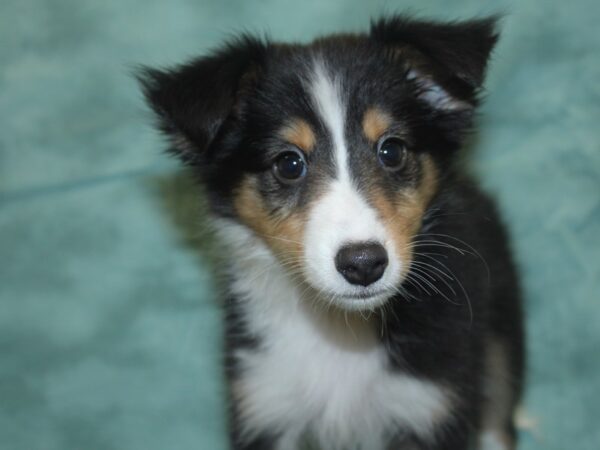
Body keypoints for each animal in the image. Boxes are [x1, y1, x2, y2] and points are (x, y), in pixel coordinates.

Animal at [138, 14, 524, 450]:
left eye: (392, 150)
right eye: (288, 163)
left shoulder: (430, 402)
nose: (363, 264)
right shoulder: (264, 398)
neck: (340, 330)